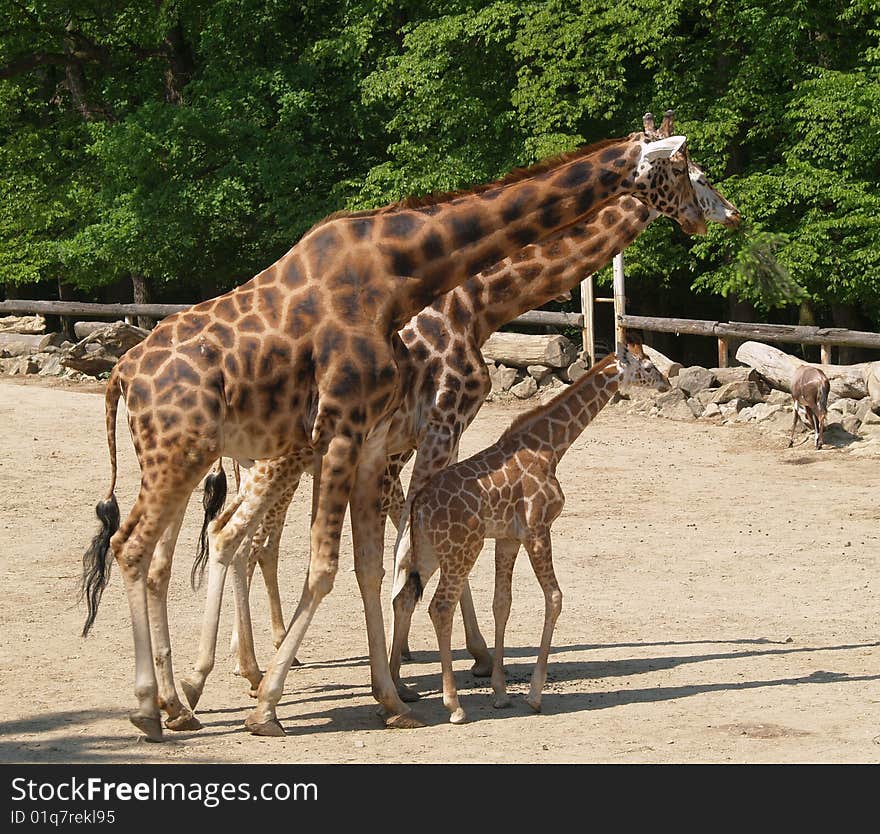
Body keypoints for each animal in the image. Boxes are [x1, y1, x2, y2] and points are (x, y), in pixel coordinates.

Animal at [388, 344, 672, 720]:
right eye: (649, 366)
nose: (667, 383)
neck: (551, 447)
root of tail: (418, 505)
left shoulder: (508, 538)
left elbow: (502, 604)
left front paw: (500, 692)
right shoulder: (538, 528)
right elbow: (555, 598)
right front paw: (534, 695)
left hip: (430, 551)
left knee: (404, 597)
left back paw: (398, 689)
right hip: (463, 549)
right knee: (440, 607)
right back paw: (454, 705)